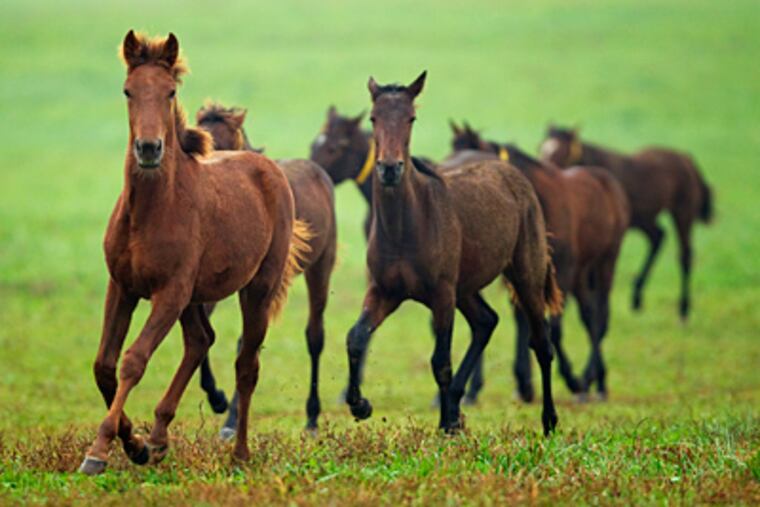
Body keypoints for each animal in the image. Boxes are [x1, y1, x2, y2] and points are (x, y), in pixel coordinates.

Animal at [78, 31, 309, 475]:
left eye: (170, 91)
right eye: (128, 90)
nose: (148, 149)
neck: (150, 211)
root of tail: (269, 168)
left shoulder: (169, 293)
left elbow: (133, 360)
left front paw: (99, 449)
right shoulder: (123, 287)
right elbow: (104, 365)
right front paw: (133, 442)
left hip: (256, 289)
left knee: (246, 366)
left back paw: (239, 454)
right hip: (194, 297)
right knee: (201, 340)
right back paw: (157, 438)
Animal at [194, 103, 337, 435]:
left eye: (223, 143)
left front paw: (228, 413)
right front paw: (217, 399)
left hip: (320, 267)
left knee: (315, 335)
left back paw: (312, 417)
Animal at [344, 72, 563, 435]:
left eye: (411, 118)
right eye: (374, 117)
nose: (389, 168)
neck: (406, 227)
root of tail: (515, 177)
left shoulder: (442, 294)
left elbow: (440, 361)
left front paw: (445, 424)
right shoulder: (384, 291)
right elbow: (356, 337)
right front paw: (360, 404)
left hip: (525, 275)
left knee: (541, 344)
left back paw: (548, 421)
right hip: (467, 288)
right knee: (486, 321)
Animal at [446, 122, 630, 402]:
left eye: (474, 156)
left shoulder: (561, 270)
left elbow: (553, 325)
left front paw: (569, 380)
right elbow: (524, 318)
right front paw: (524, 385)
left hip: (606, 260)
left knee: (601, 316)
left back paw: (593, 382)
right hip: (580, 273)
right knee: (589, 315)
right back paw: (592, 380)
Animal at [540, 126, 713, 321]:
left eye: (563, 152)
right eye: (542, 147)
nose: (545, 166)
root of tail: (688, 160)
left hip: (682, 213)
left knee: (685, 255)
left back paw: (683, 309)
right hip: (644, 220)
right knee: (658, 237)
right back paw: (636, 298)